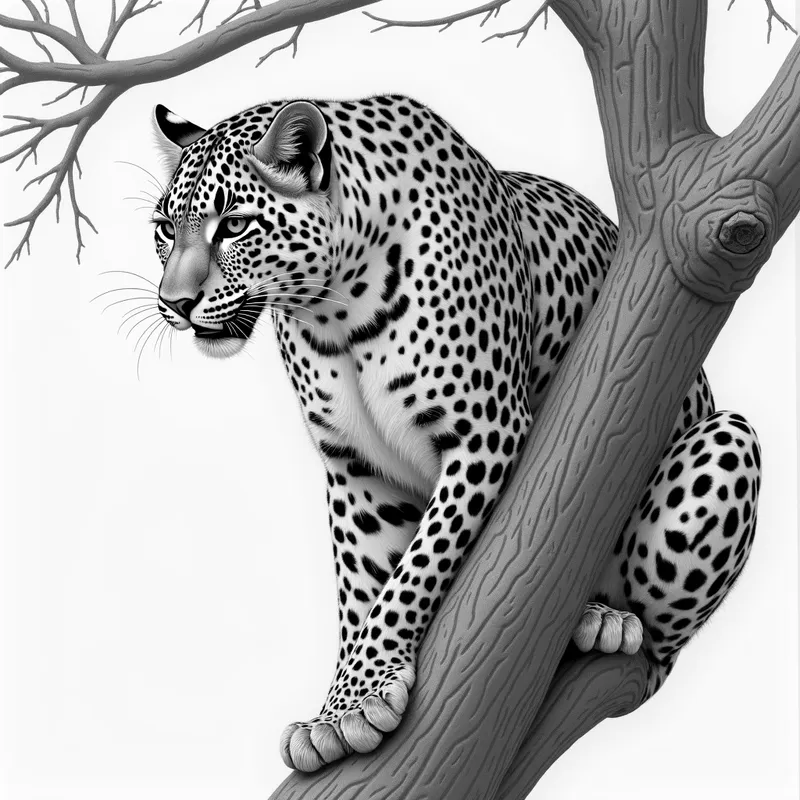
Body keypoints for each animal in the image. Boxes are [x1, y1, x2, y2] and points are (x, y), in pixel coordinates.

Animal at [149, 94, 762, 772]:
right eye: (163, 229)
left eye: (233, 225)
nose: (174, 303)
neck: (333, 310)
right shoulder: (354, 466)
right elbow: (362, 583)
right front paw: (337, 709)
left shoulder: (482, 430)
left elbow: (417, 568)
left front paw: (361, 697)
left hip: (727, 440)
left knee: (659, 641)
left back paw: (606, 620)